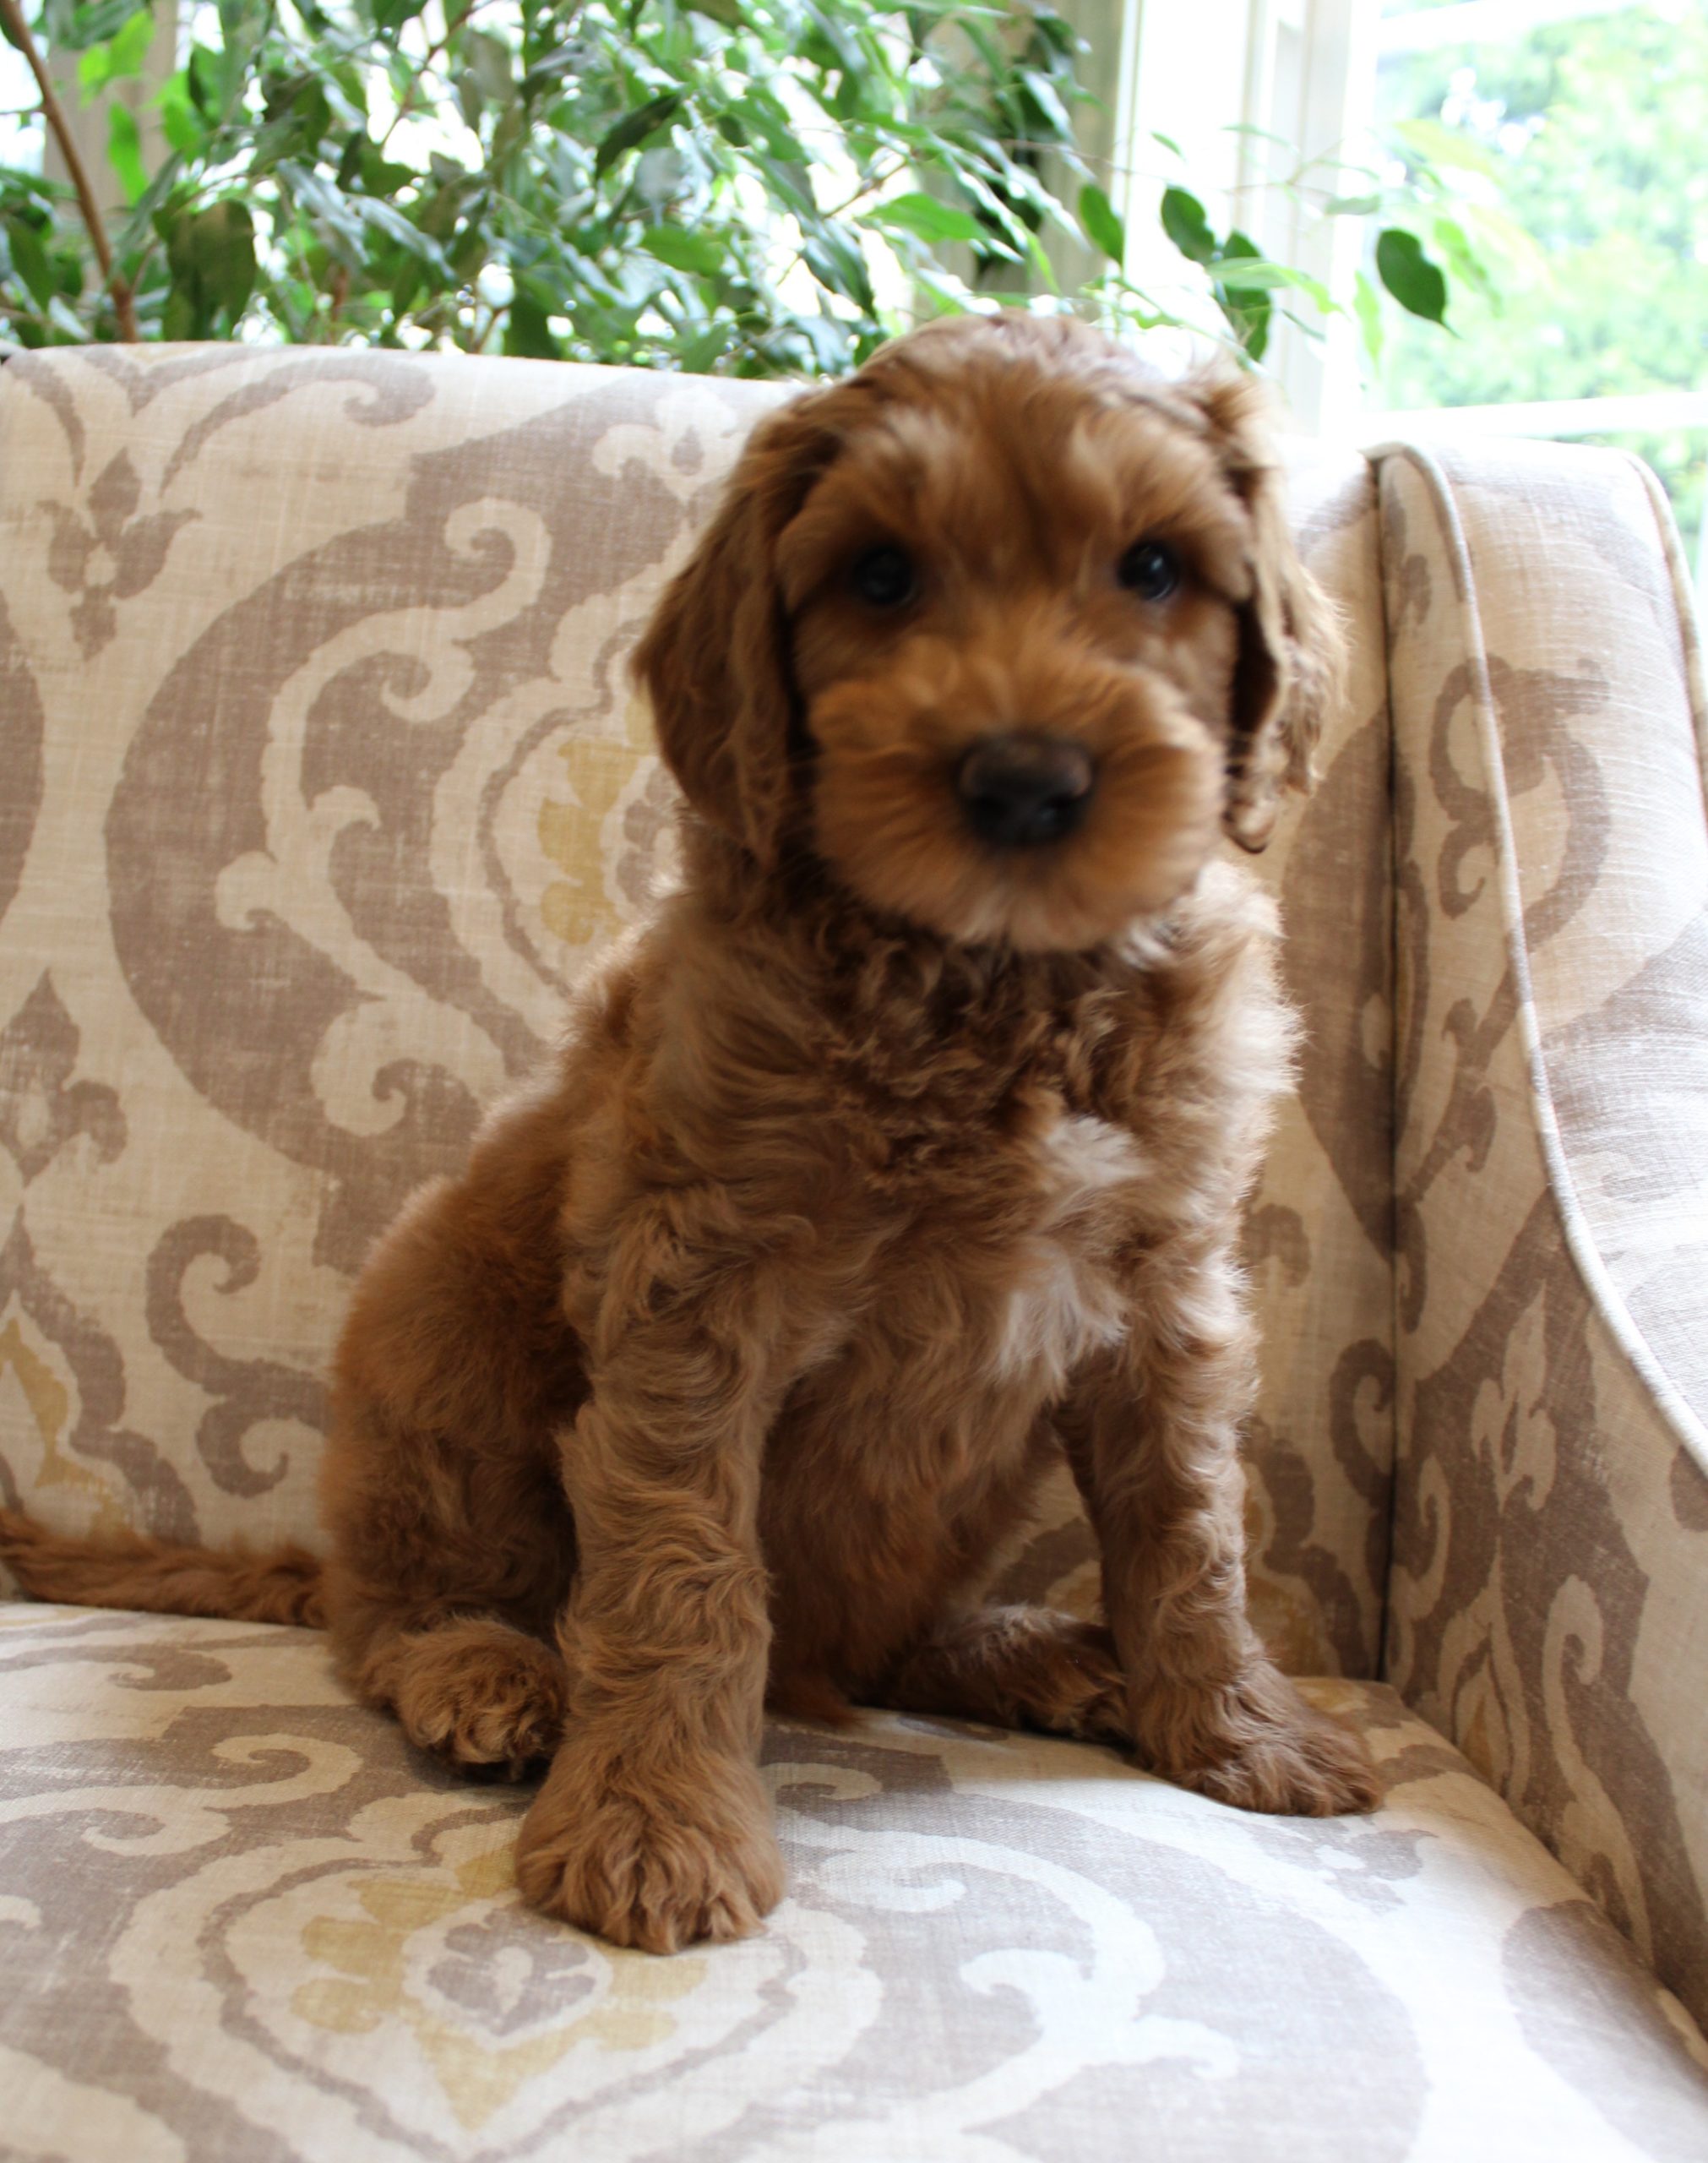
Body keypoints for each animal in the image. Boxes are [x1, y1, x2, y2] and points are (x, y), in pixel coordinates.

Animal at [1, 312, 1379, 1955]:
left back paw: (1031, 1651)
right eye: (880, 577)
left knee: (878, 1645)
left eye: (1156, 568)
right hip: (442, 1349)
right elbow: (681, 1566)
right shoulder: (697, 1279)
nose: (1024, 780)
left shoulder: (1168, 1295)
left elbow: (1188, 1529)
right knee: (390, 1612)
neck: (993, 983)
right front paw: (653, 1822)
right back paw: (490, 1673)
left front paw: (1245, 1728)